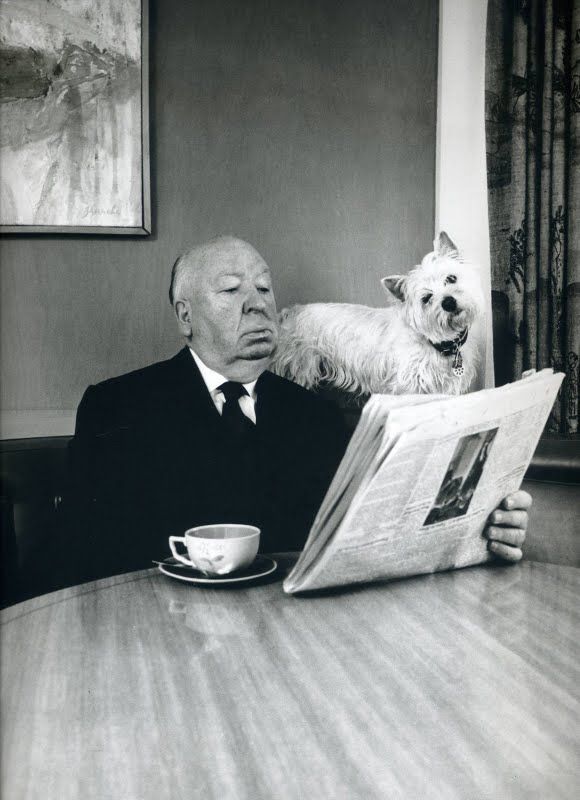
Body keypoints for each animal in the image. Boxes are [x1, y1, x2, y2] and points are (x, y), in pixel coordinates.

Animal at [272, 233, 484, 396]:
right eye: (426, 298)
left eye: (451, 278)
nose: (448, 302)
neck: (440, 344)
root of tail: (290, 312)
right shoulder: (409, 387)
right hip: (299, 368)